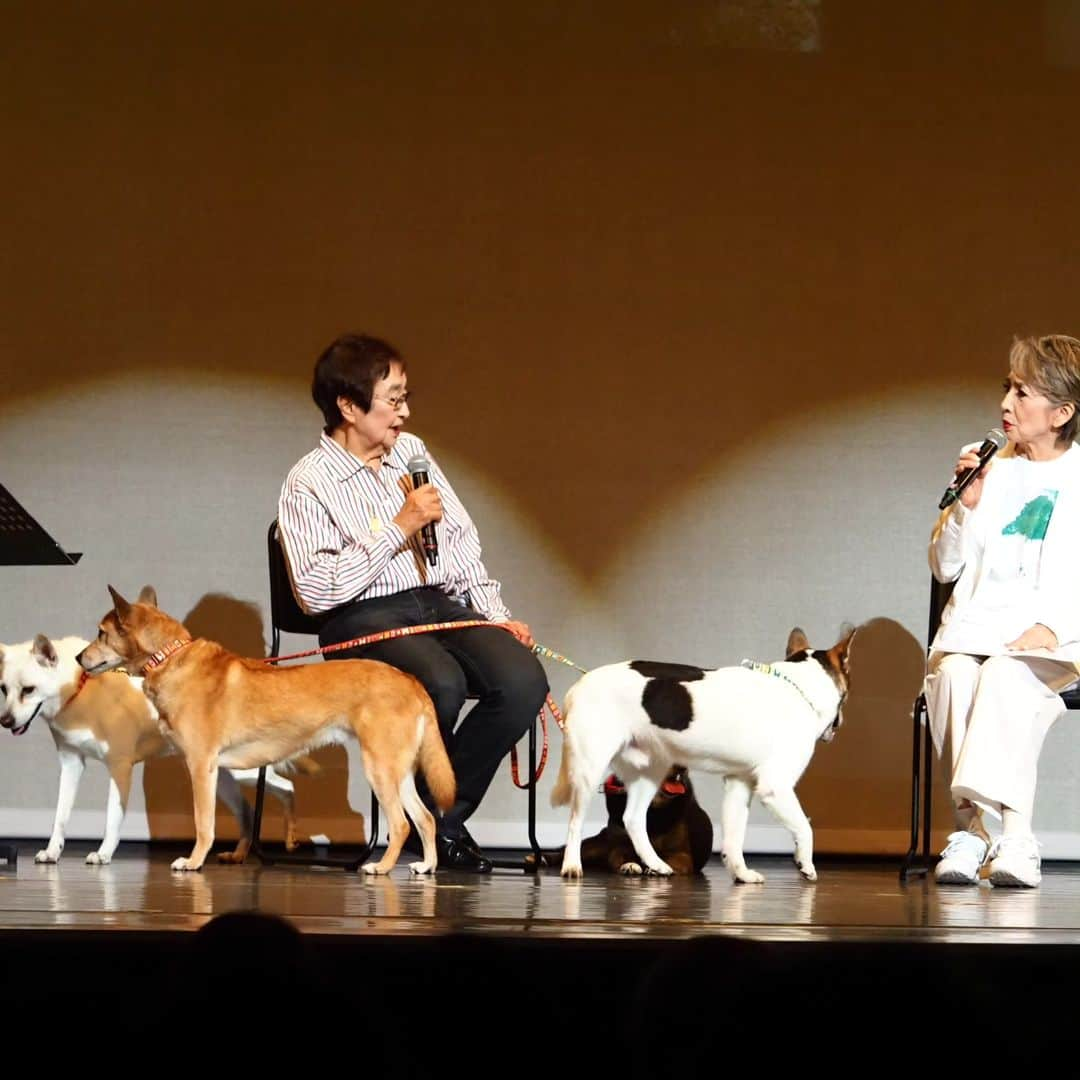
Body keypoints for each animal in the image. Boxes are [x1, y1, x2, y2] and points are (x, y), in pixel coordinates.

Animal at [0, 630, 313, 864]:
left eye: (28, 690)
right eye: (4, 689)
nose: (5, 721)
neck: (80, 686)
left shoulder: (120, 767)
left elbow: (112, 818)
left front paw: (103, 853)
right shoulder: (70, 763)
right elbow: (60, 815)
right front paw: (52, 851)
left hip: (241, 770)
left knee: (286, 787)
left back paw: (289, 836)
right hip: (217, 775)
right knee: (247, 810)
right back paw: (239, 854)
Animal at [78, 587, 451, 872]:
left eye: (101, 633)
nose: (79, 658)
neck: (170, 659)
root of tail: (410, 680)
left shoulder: (200, 765)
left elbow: (203, 824)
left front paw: (194, 862)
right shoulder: (215, 770)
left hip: (380, 769)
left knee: (401, 825)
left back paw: (382, 868)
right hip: (398, 771)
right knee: (426, 819)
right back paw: (426, 867)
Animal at [533, 764, 717, 872]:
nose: (681, 767)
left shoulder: (683, 855)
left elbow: (672, 862)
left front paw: (656, 868)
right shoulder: (618, 847)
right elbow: (621, 855)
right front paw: (631, 865)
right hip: (595, 847)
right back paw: (542, 859)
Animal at [552, 626, 855, 885]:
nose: (840, 724)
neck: (796, 687)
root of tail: (579, 685)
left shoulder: (738, 784)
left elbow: (734, 838)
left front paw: (740, 873)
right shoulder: (775, 787)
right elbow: (805, 827)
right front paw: (806, 864)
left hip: (650, 772)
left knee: (633, 819)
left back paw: (657, 864)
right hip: (589, 770)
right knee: (575, 822)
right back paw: (572, 866)